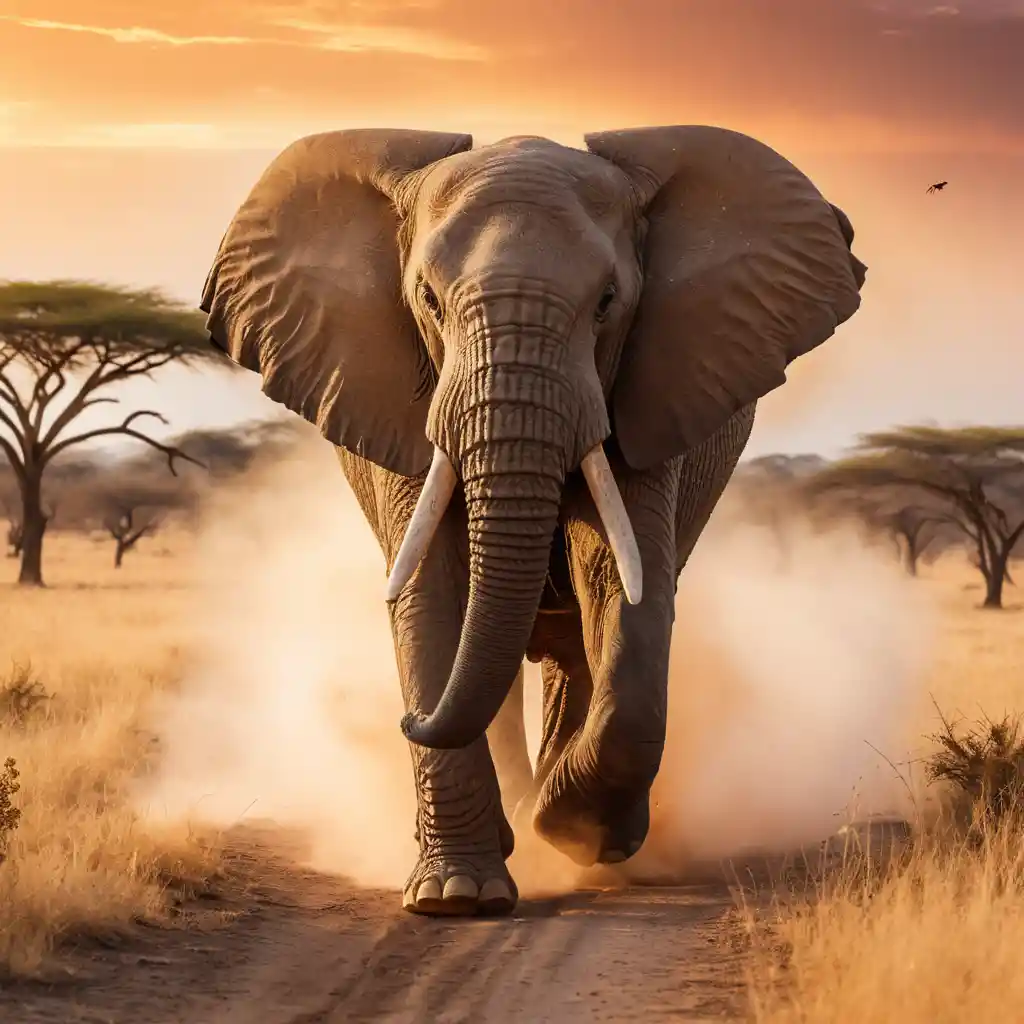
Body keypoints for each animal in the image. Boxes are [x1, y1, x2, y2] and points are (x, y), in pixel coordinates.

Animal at [199, 124, 866, 918]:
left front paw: (571, 829)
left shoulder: (646, 388)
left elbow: (620, 583)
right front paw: (457, 896)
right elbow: (435, 590)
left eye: (608, 302)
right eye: (428, 300)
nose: (404, 720)